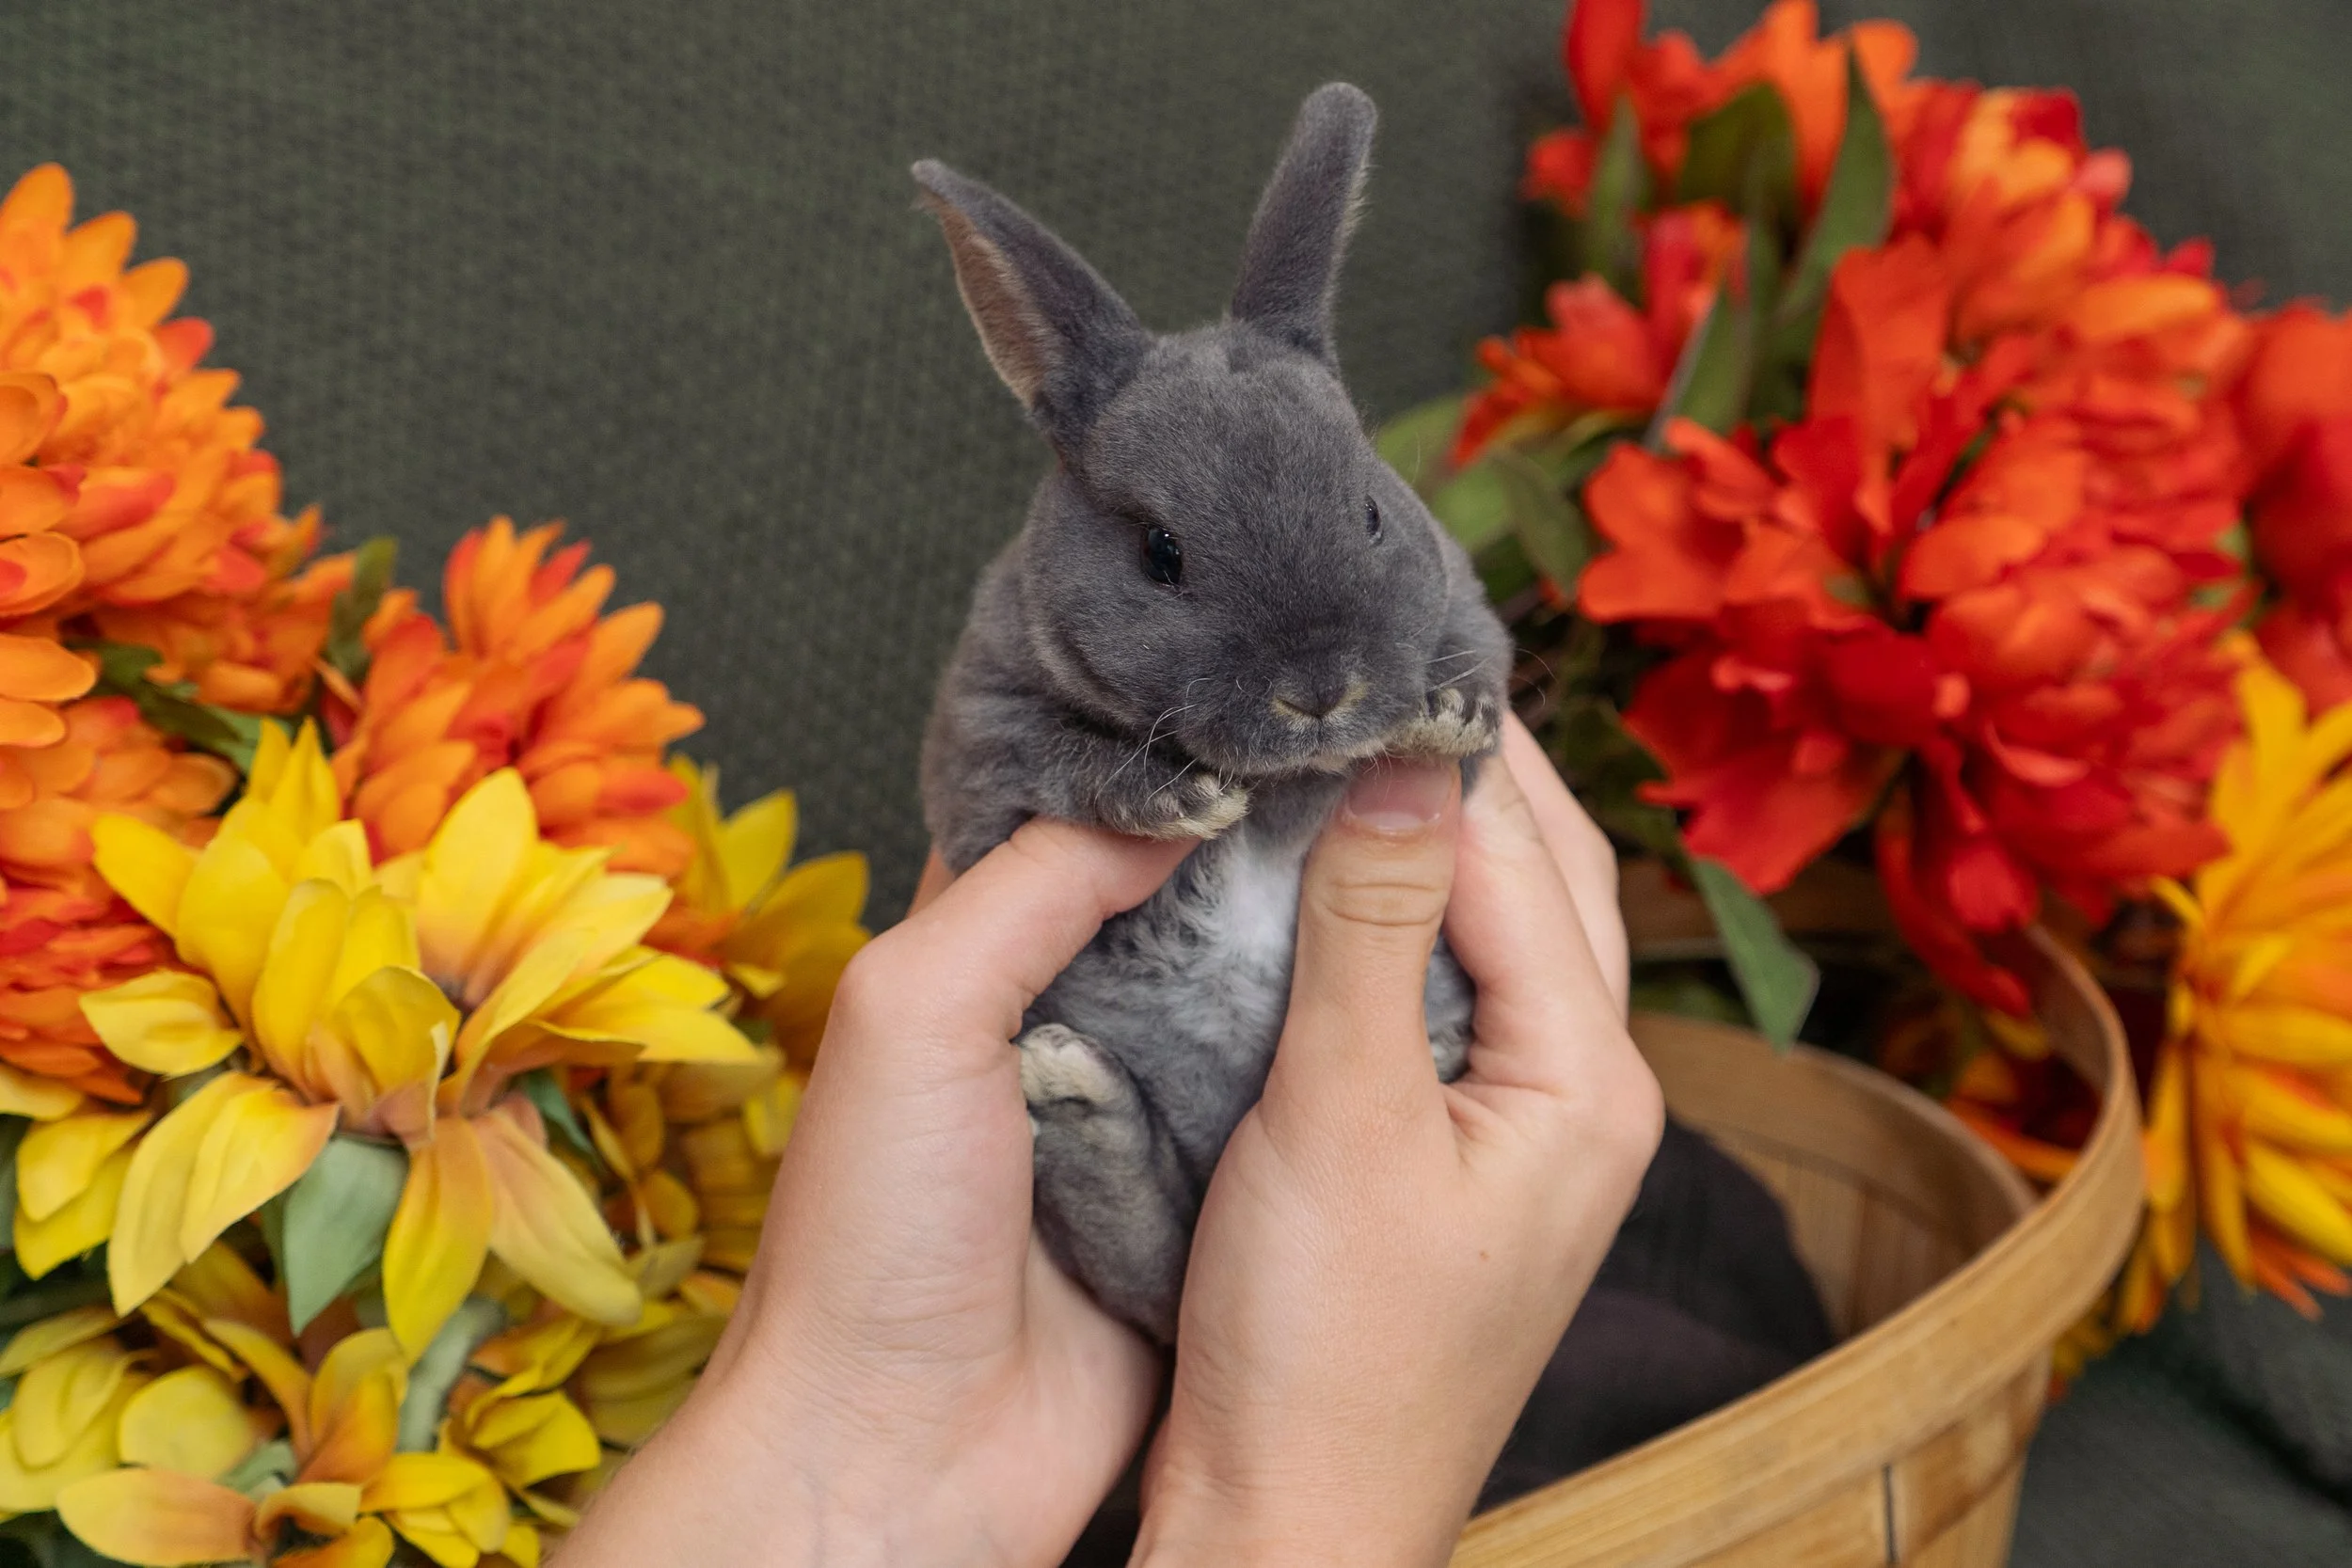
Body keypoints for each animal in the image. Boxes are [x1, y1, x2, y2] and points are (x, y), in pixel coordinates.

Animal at [914, 81, 1512, 1343]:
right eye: (1160, 551)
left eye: (1369, 507)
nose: (1319, 688)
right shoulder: (980, 740)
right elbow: (1054, 764)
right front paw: (1172, 797)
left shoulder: (1475, 621)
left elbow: (1474, 695)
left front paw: (1441, 716)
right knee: (1146, 1248)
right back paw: (1069, 1088)